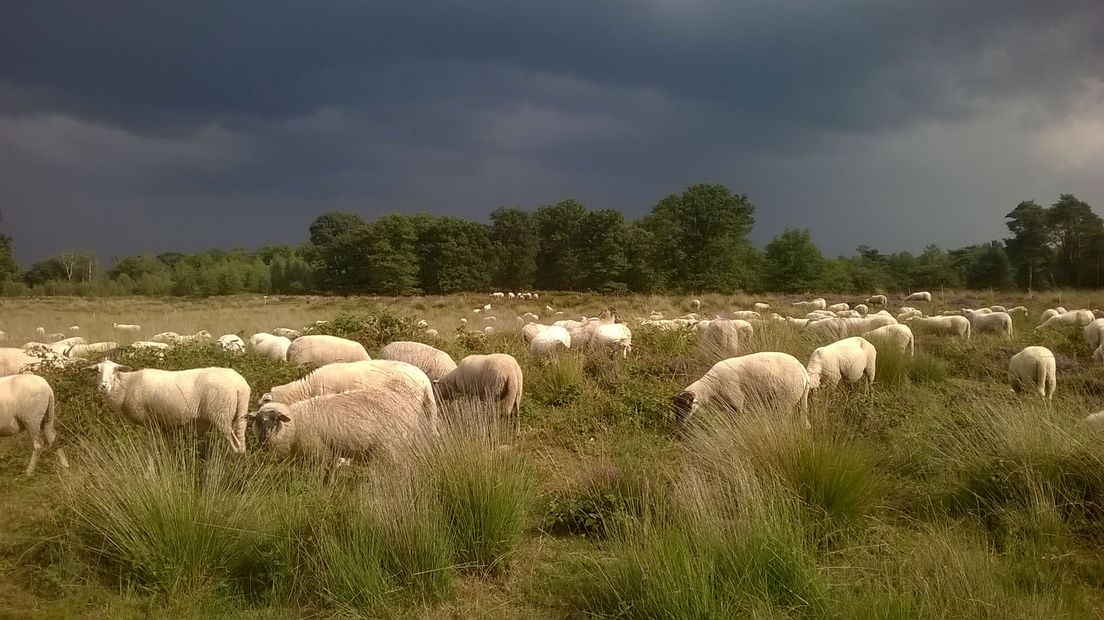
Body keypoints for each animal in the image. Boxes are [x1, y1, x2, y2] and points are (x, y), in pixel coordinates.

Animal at [89, 357, 252, 454]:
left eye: (115, 370)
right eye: (97, 370)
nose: (103, 387)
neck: (127, 386)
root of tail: (240, 385)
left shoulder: (150, 422)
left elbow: (152, 449)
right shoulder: (163, 424)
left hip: (221, 414)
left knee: (236, 446)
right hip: (239, 414)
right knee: (241, 445)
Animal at [671, 353, 812, 430]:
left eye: (687, 407)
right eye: (676, 408)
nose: (679, 425)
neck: (710, 386)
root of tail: (803, 371)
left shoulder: (736, 402)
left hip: (786, 399)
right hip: (799, 398)